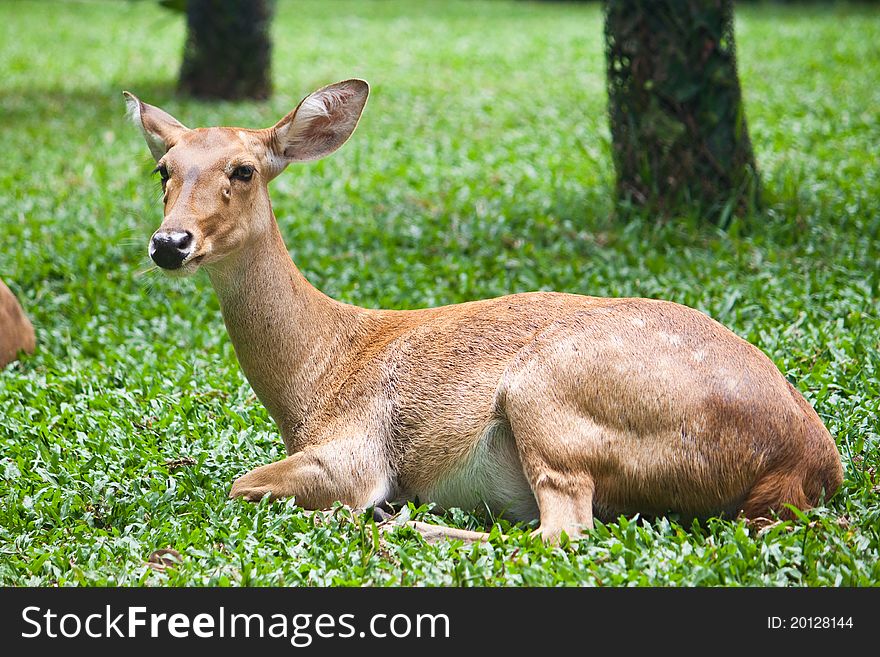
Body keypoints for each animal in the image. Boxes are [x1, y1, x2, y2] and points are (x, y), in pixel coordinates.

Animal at [125, 79, 844, 540]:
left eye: (244, 169)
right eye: (164, 169)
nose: (170, 242)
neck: (314, 373)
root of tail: (804, 466)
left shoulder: (356, 447)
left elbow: (243, 483)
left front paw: (370, 508)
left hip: (548, 397)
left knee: (563, 532)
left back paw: (405, 522)